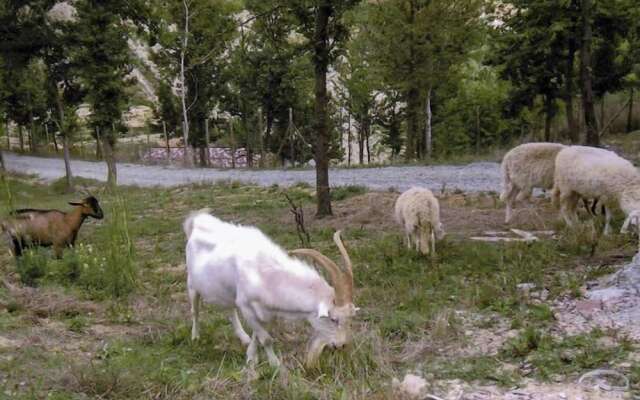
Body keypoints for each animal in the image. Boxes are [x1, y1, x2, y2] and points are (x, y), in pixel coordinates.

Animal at [182, 209, 358, 368]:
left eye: (350, 318)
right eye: (333, 319)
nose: (341, 345)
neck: (267, 275)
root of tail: (197, 221)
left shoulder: (268, 312)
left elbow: (258, 335)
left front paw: (251, 357)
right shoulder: (246, 306)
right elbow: (266, 339)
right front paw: (275, 364)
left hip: (226, 292)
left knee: (230, 310)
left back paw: (243, 337)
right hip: (192, 283)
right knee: (195, 310)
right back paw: (195, 337)